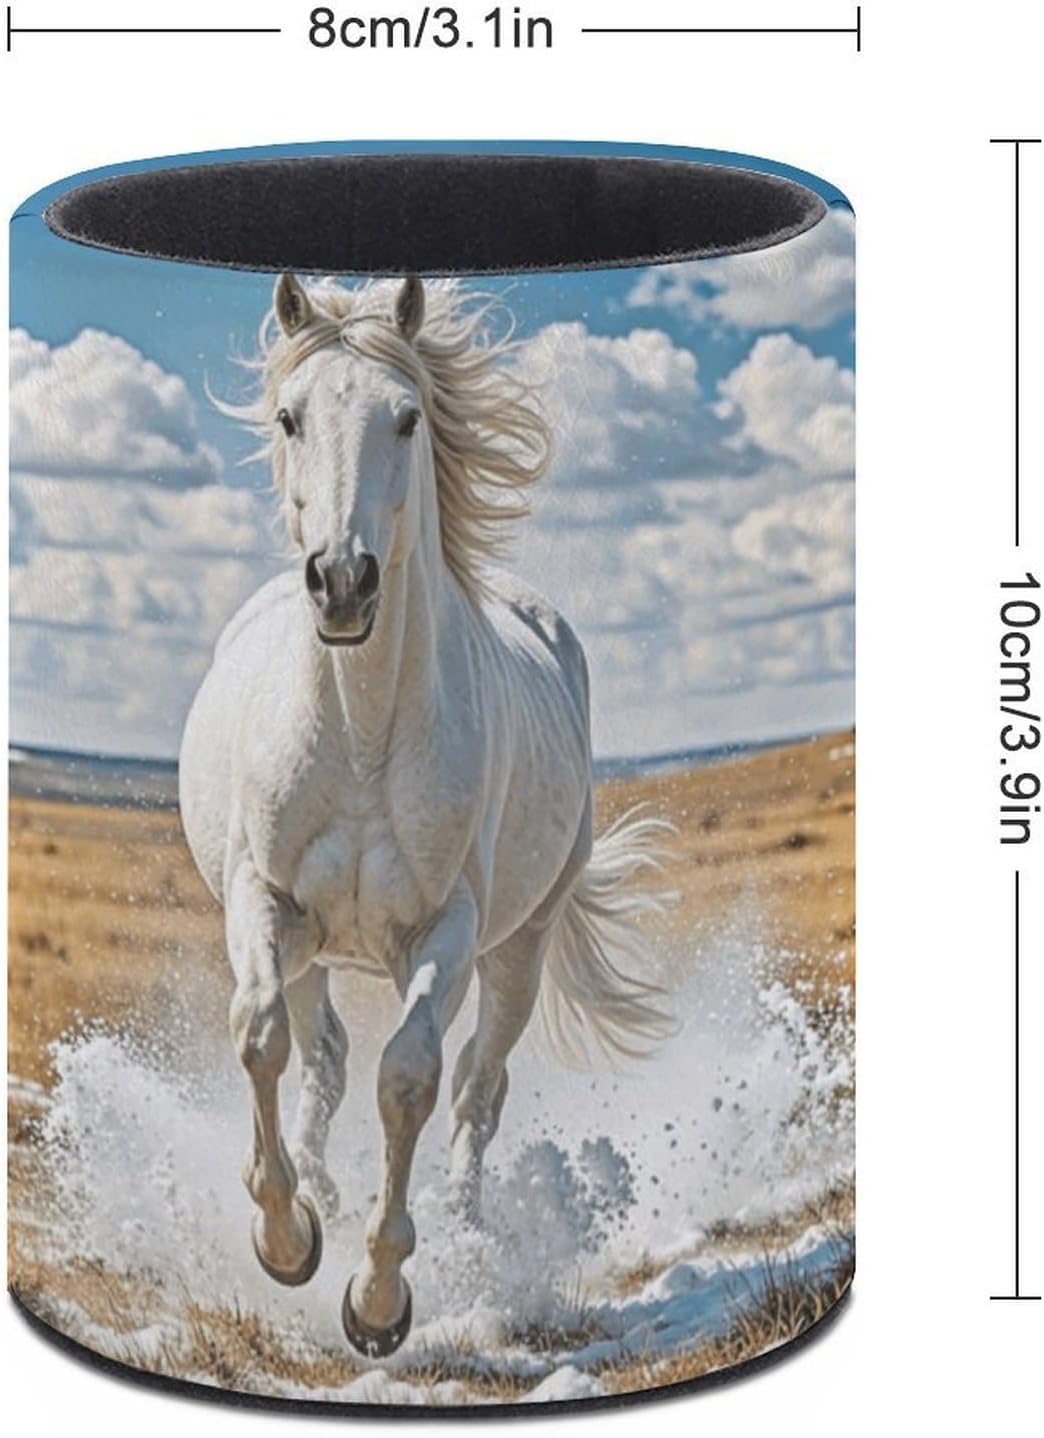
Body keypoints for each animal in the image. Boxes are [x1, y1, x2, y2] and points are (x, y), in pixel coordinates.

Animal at [179, 272, 674, 1357]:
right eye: (289, 417)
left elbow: (409, 1077)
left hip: (521, 944)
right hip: (316, 946)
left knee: (480, 1088)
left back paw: (468, 1228)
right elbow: (260, 1035)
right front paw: (287, 1235)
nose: (343, 581)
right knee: (321, 1056)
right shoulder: (266, 901)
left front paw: (378, 1298)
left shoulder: (443, 932)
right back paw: (321, 1191)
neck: (363, 732)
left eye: (407, 418)